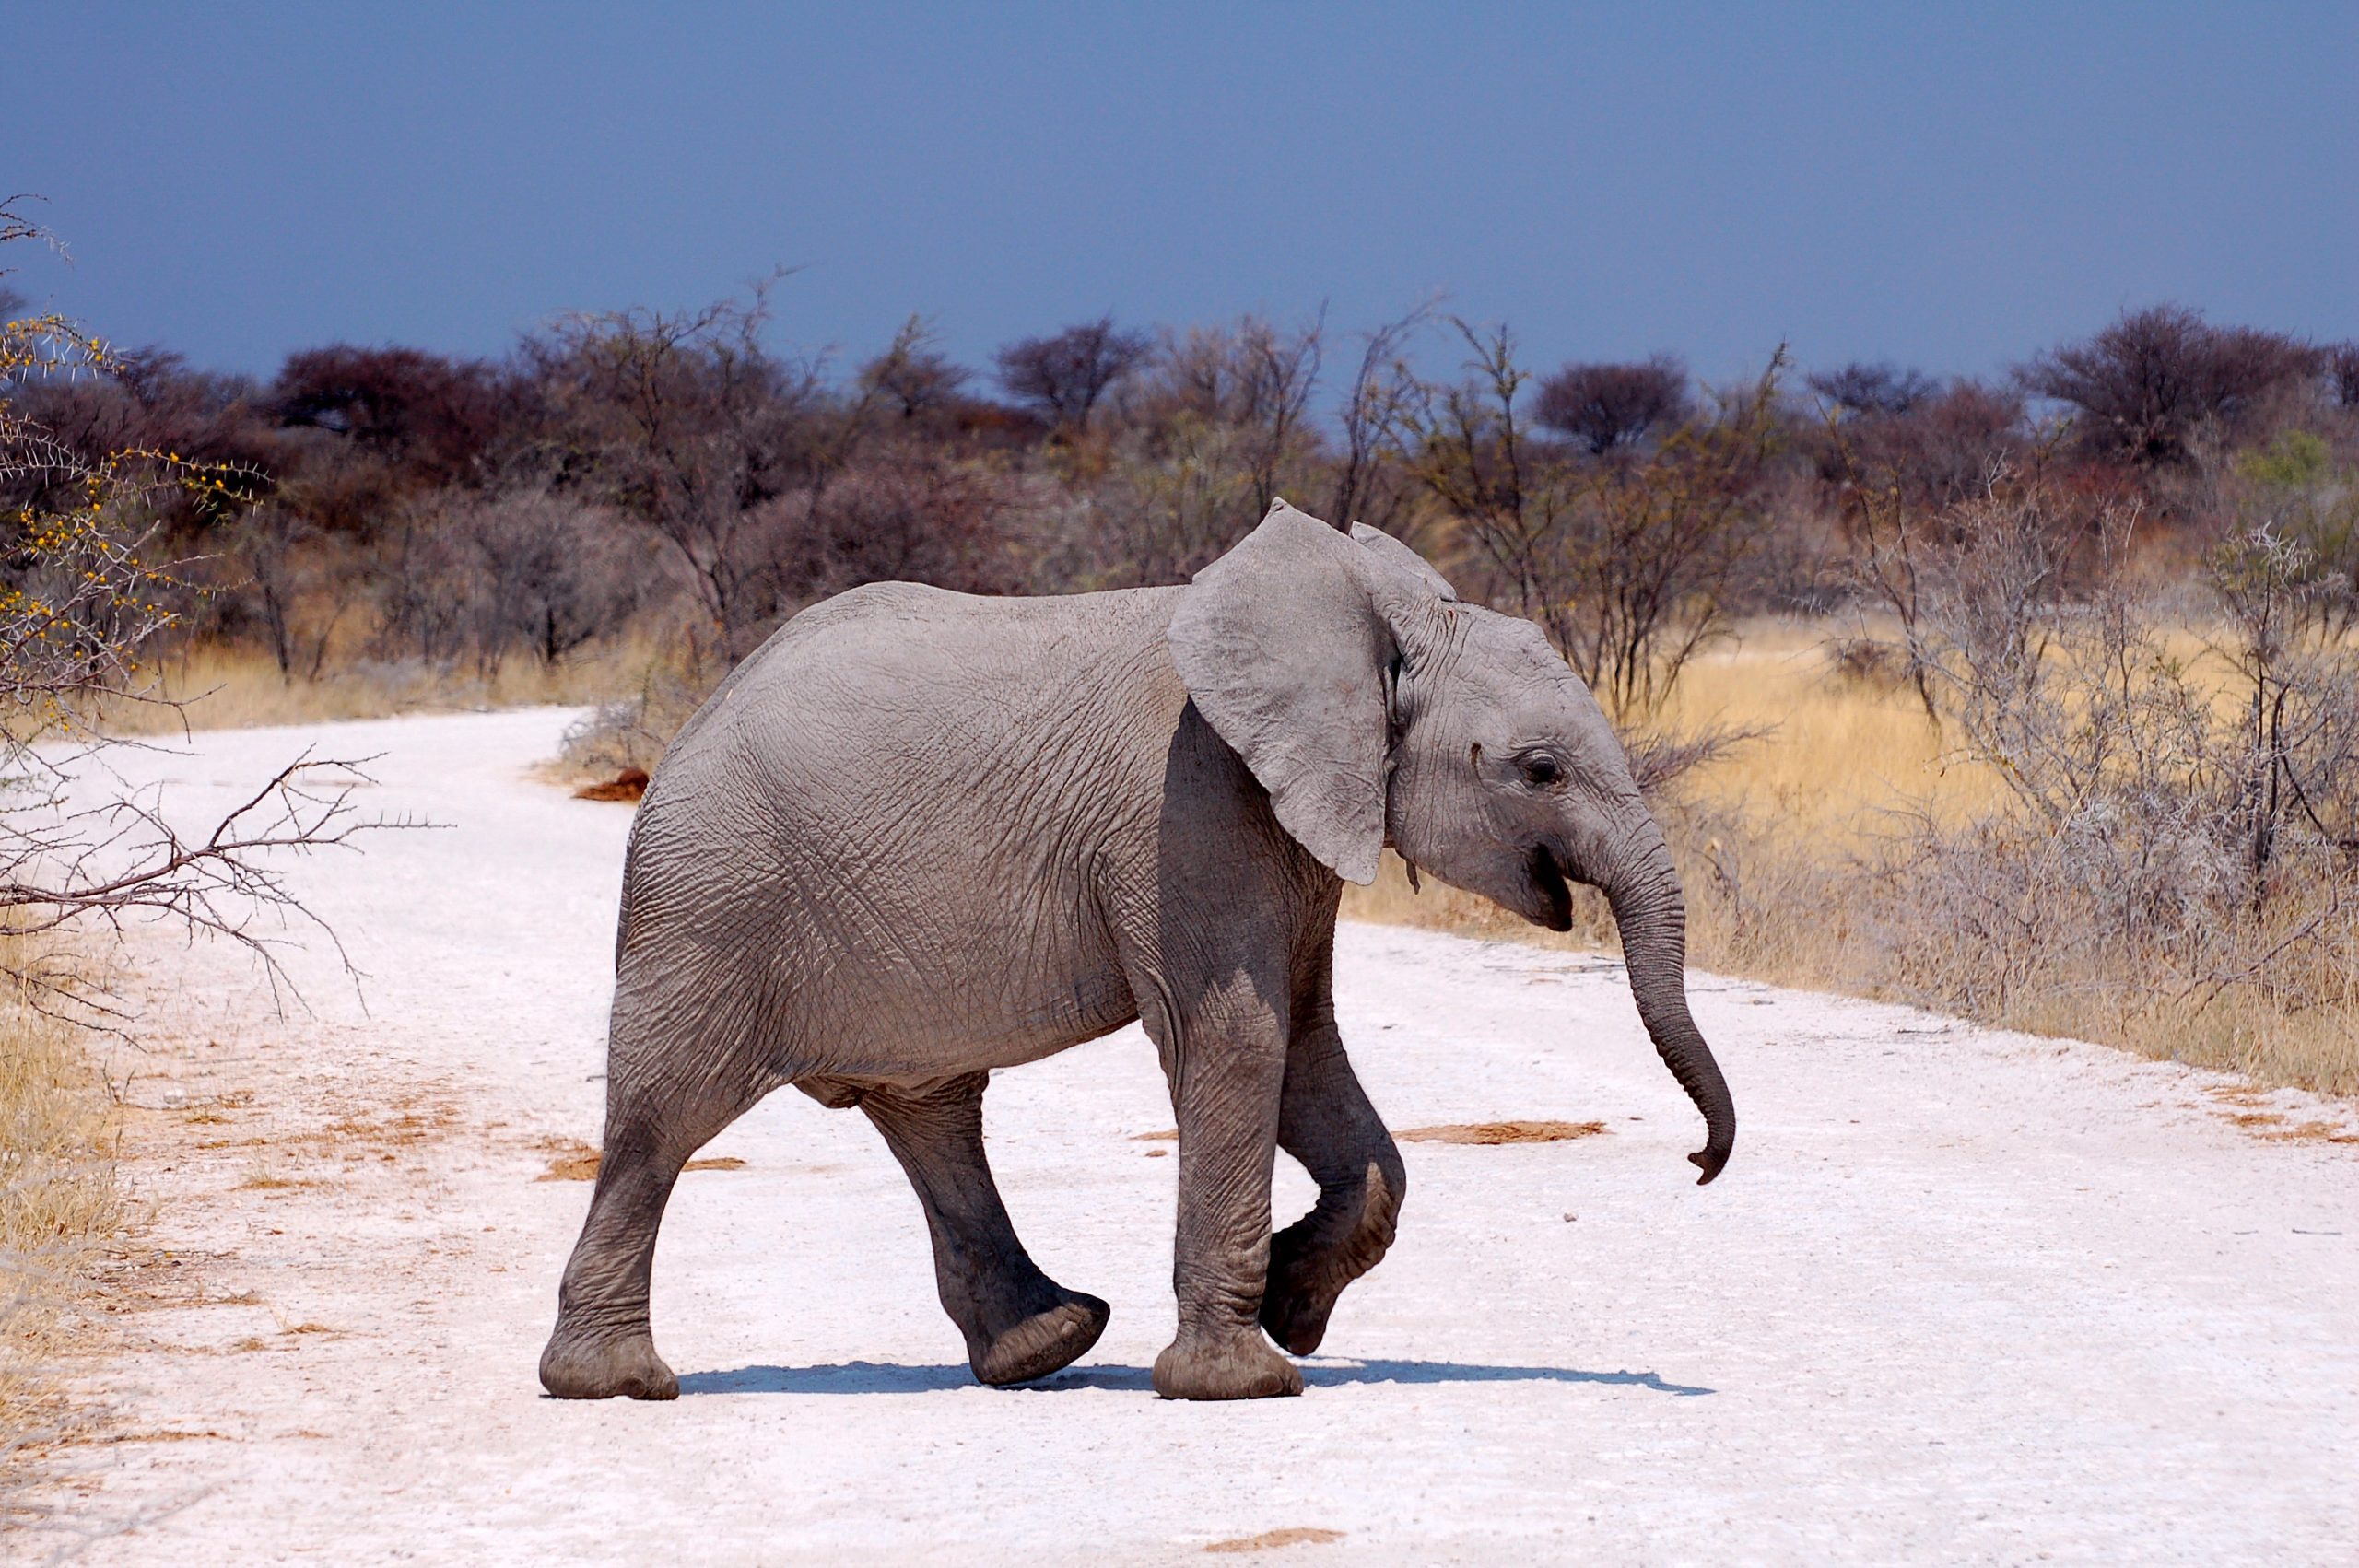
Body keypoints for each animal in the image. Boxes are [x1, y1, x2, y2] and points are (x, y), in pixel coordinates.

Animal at [542, 495, 1745, 1396]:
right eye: (1540, 769)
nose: (1697, 1163)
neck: (1366, 626)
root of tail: (690, 726)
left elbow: (1309, 1046)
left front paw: (1295, 1307)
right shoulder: (1187, 807)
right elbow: (1237, 1038)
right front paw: (1244, 1381)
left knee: (931, 1110)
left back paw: (1049, 1345)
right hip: (713, 898)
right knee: (666, 1117)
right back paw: (615, 1383)